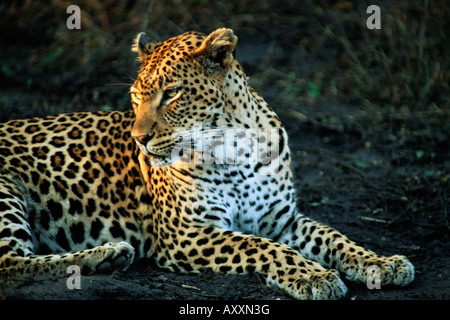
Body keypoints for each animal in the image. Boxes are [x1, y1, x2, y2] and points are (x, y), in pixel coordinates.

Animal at [0, 28, 414, 300]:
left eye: (171, 94)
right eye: (135, 98)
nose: (139, 139)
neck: (235, 148)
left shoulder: (281, 220)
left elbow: (335, 237)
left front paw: (382, 263)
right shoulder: (187, 233)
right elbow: (263, 248)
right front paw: (313, 277)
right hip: (6, 189)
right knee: (11, 262)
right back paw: (108, 255)